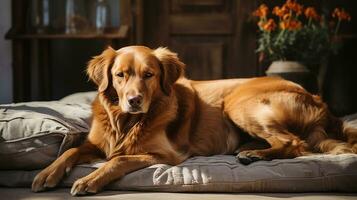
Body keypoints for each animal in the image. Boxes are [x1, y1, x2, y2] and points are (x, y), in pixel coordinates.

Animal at [32, 45, 354, 195]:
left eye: (149, 75)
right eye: (120, 75)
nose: (134, 101)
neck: (126, 122)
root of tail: (319, 101)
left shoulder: (166, 155)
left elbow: (118, 160)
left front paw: (89, 179)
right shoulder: (98, 144)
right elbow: (71, 151)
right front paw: (47, 174)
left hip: (238, 103)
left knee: (295, 143)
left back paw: (253, 153)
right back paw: (249, 150)